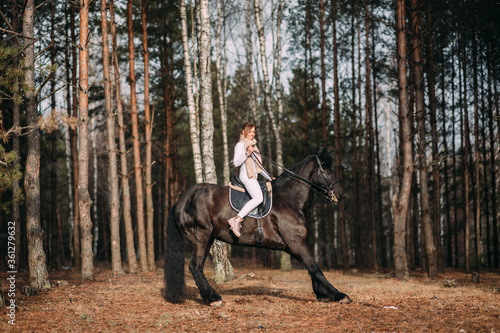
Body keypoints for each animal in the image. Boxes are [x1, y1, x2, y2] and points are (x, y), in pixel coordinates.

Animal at [164, 149, 352, 304]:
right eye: (327, 170)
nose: (340, 193)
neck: (288, 198)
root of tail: (183, 199)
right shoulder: (296, 242)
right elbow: (314, 266)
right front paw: (338, 295)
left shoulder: (295, 245)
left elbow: (311, 268)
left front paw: (323, 294)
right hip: (200, 238)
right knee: (195, 266)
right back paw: (213, 298)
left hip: (208, 239)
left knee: (198, 267)